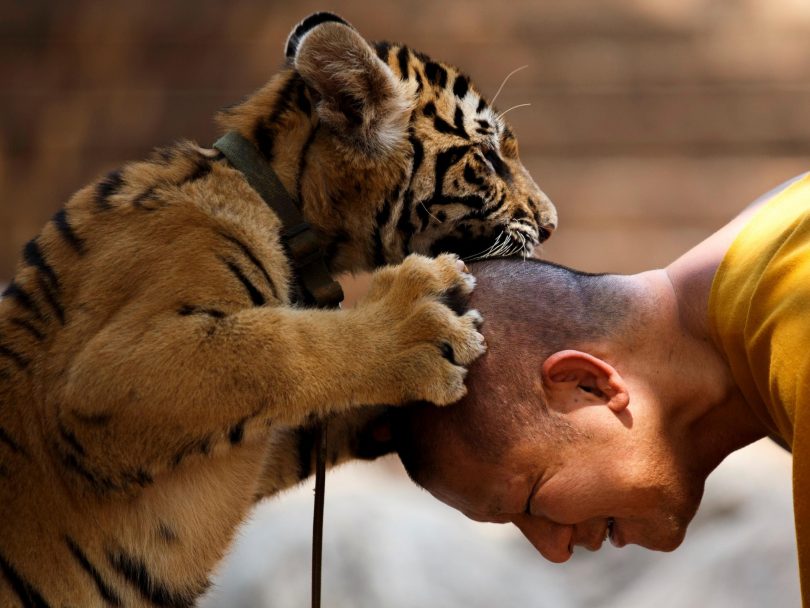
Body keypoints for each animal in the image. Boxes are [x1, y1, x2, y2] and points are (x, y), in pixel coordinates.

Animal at [0, 12, 556, 607]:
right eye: (489, 159)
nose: (551, 225)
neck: (285, 206)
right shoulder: (110, 373)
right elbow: (278, 349)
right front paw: (416, 324)